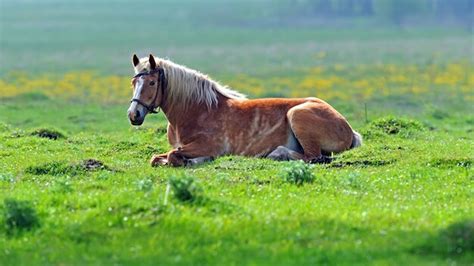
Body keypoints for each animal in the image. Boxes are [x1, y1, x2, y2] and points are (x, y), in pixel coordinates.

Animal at [128, 54, 362, 166]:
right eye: (134, 82)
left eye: (151, 82)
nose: (133, 115)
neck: (196, 111)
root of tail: (349, 129)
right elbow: (157, 158)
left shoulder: (208, 145)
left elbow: (173, 156)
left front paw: (191, 161)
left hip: (296, 114)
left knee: (314, 157)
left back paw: (278, 153)